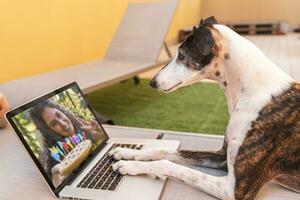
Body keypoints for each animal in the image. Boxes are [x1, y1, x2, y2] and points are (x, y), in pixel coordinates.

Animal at [109, 16, 300, 199]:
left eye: (182, 55)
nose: (152, 82)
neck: (251, 88)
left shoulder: (234, 189)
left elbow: (169, 164)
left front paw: (130, 165)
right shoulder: (222, 157)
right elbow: (164, 150)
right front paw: (127, 152)